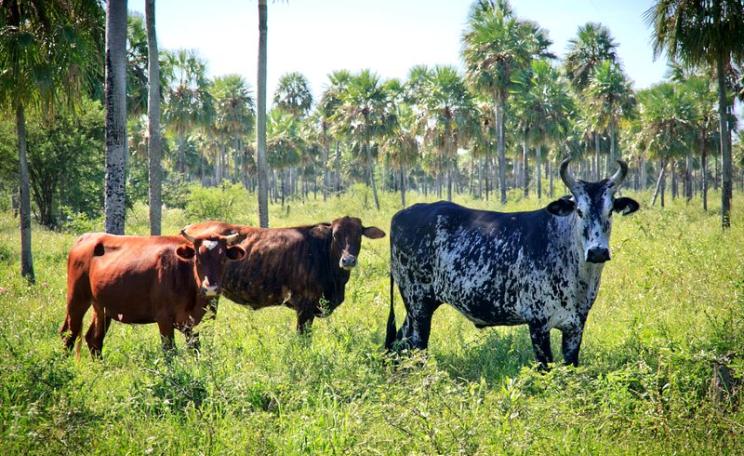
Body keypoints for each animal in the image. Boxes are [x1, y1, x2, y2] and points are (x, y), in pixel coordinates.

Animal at [60, 226, 246, 357]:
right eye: (197, 258)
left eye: (223, 258)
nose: (210, 288)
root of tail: (86, 237)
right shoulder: (164, 318)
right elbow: (169, 351)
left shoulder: (197, 322)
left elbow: (195, 350)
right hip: (76, 299)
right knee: (68, 334)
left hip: (102, 307)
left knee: (94, 339)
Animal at [385, 159, 639, 367]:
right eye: (579, 210)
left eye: (610, 211)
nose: (597, 252)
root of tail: (401, 214)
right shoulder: (538, 324)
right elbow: (545, 367)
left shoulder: (576, 325)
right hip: (418, 304)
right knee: (417, 346)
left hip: (418, 306)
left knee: (400, 341)